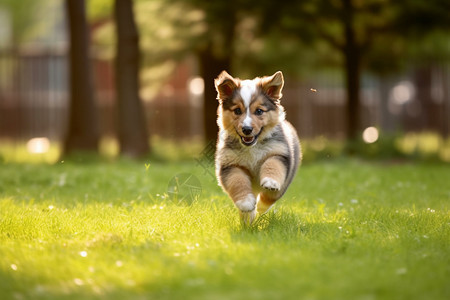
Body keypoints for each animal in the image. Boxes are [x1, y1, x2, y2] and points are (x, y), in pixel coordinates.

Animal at [215, 71, 302, 224]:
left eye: (259, 111)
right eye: (237, 111)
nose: (247, 129)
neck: (252, 147)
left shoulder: (279, 153)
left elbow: (272, 166)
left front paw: (269, 185)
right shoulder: (230, 164)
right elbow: (237, 181)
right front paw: (245, 203)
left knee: (272, 196)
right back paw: (248, 218)